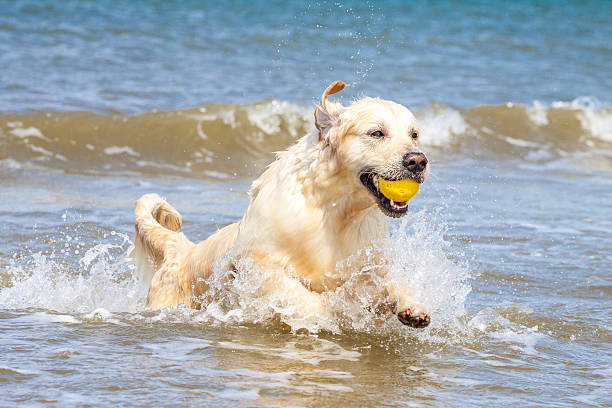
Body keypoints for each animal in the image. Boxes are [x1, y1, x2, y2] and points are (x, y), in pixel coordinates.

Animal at [134, 80, 430, 328]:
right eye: (376, 133)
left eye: (414, 134)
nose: (417, 161)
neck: (335, 212)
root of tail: (183, 251)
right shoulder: (256, 264)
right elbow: (301, 295)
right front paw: (328, 315)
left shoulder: (367, 264)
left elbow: (390, 279)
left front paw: (413, 306)